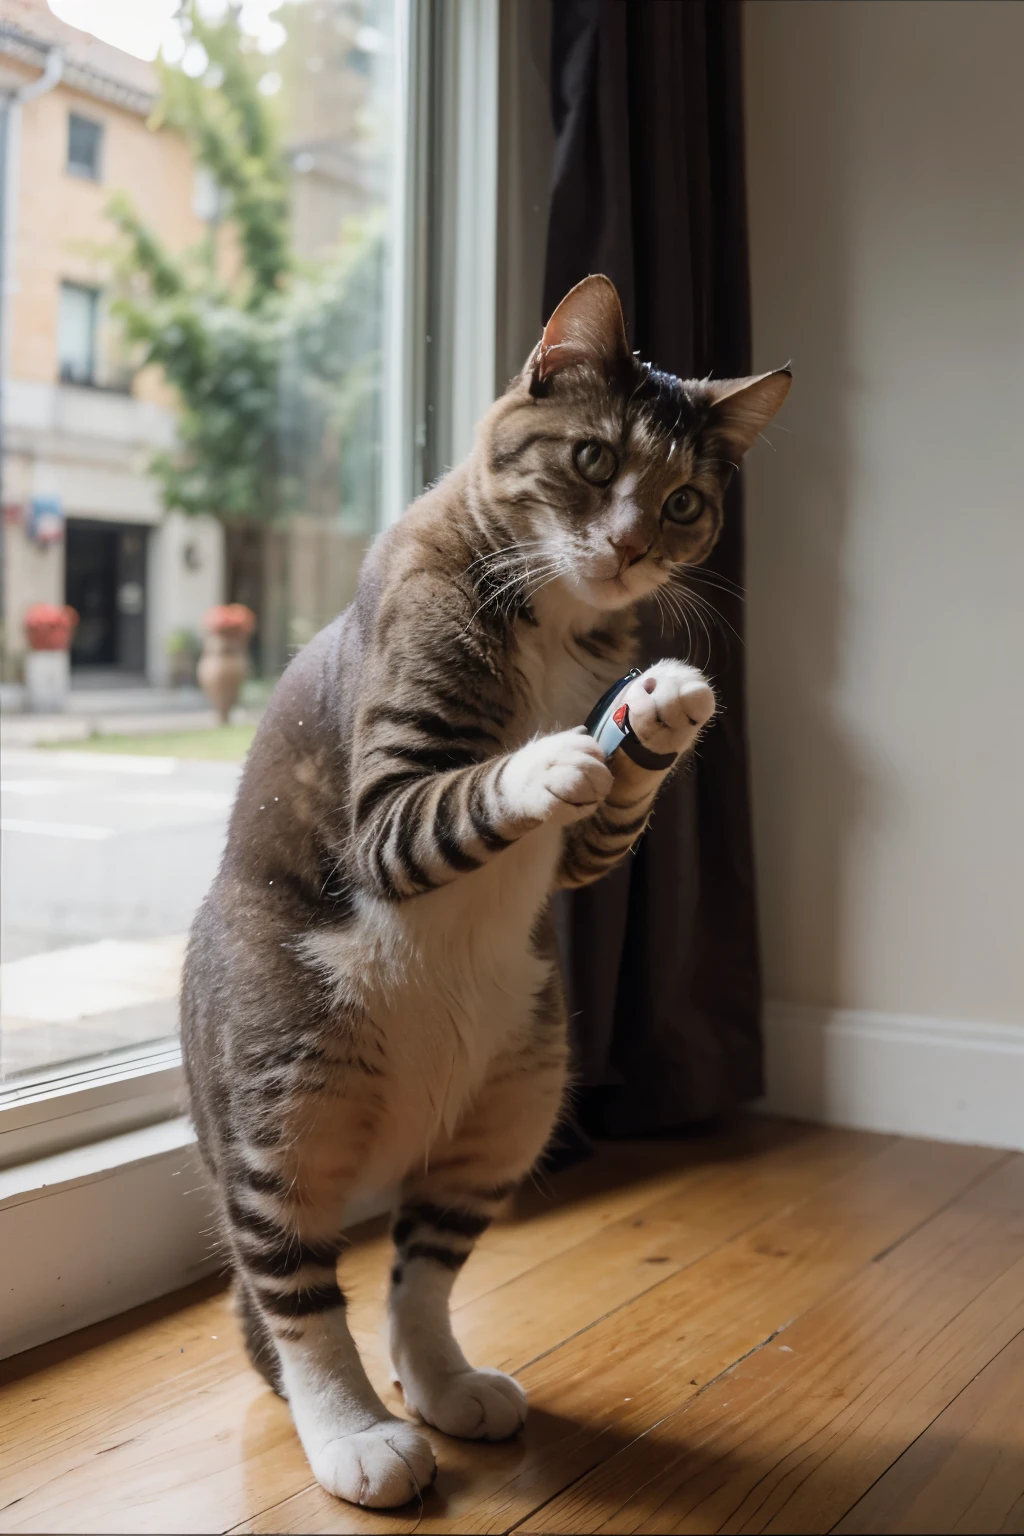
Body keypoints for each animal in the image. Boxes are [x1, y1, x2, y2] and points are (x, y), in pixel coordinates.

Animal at [181, 270, 792, 1505]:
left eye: (685, 501)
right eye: (594, 460)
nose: (628, 545)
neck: (559, 624)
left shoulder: (585, 854)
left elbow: (611, 813)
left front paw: (657, 714)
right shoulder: (387, 801)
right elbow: (455, 793)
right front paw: (554, 756)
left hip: (515, 1100)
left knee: (419, 1275)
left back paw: (445, 1387)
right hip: (281, 1107)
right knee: (295, 1295)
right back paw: (356, 1436)